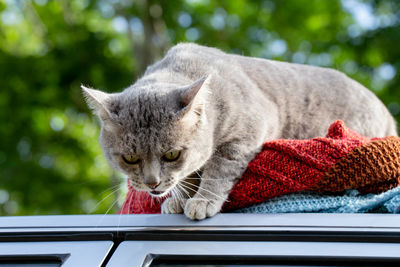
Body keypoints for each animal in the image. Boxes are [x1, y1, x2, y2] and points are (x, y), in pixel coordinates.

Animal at [81, 43, 396, 221]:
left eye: (171, 155)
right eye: (130, 158)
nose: (152, 183)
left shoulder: (248, 131)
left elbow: (218, 168)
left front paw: (202, 201)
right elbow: (191, 173)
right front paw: (180, 199)